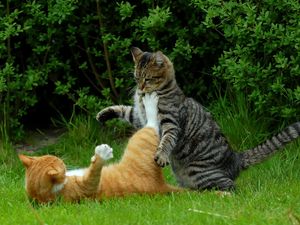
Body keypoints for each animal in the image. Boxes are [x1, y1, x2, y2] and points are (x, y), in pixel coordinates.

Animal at [19, 92, 180, 203]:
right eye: (60, 163)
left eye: (54, 157)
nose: (63, 161)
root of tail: (160, 185)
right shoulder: (85, 190)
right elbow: (93, 175)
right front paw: (101, 154)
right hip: (141, 139)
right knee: (151, 123)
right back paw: (150, 101)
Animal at [96, 47, 300, 190]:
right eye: (137, 78)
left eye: (147, 79)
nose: (140, 88)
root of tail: (236, 157)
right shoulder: (140, 119)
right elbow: (125, 110)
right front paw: (104, 113)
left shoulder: (169, 123)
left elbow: (166, 140)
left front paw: (161, 156)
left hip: (200, 172)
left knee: (231, 187)